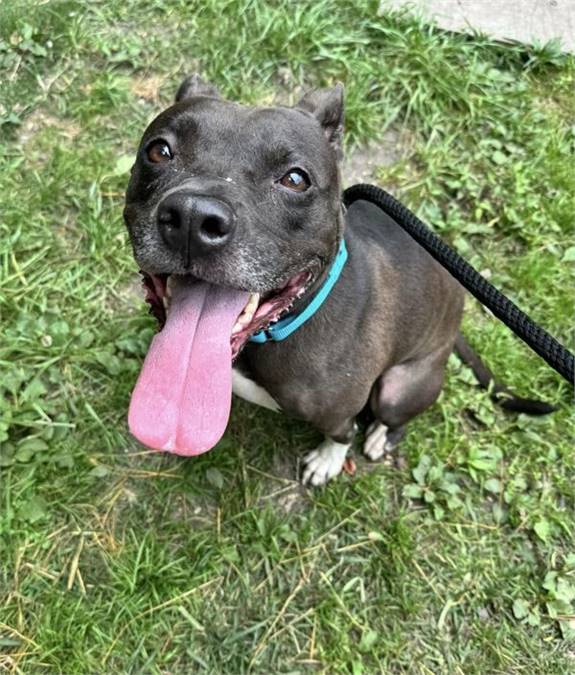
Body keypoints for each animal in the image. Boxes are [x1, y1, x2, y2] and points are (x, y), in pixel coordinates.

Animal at [125, 75, 548, 486]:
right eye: (159, 151)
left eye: (296, 179)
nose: (193, 217)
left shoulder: (339, 411)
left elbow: (342, 433)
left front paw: (328, 461)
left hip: (399, 387)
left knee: (394, 417)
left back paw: (380, 436)